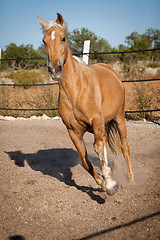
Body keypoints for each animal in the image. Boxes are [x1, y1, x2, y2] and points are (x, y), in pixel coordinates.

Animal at [37, 13, 134, 195]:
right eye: (44, 41)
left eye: (63, 38)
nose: (55, 69)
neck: (75, 91)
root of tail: (111, 71)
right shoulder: (73, 131)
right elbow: (84, 160)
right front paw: (103, 182)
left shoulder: (96, 121)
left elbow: (98, 149)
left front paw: (110, 185)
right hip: (103, 126)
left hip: (119, 118)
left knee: (124, 147)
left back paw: (131, 178)